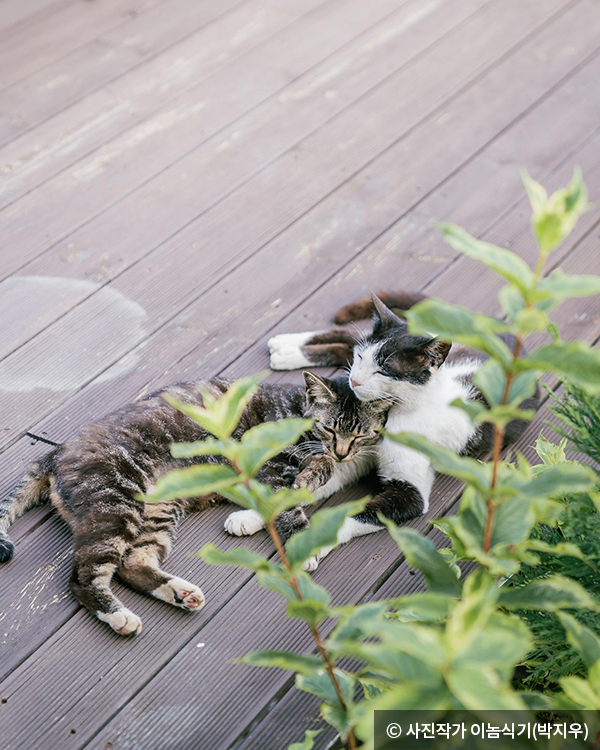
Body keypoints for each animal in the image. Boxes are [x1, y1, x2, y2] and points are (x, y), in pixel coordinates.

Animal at [0, 376, 390, 636]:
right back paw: (120, 616)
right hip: (115, 505)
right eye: (330, 428)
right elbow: (288, 499)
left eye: (361, 434)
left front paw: (312, 476)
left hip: (157, 511)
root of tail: (56, 452)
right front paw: (302, 539)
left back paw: (180, 593)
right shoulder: (267, 465)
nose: (343, 451)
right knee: (82, 576)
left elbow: (313, 474)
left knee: (132, 562)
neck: (294, 408)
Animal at [264, 292, 536, 564]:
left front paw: (310, 542)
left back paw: (286, 351)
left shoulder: (407, 492)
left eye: (382, 371)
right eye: (362, 358)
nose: (354, 380)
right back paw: (286, 346)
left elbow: (351, 513)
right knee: (347, 338)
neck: (393, 415)